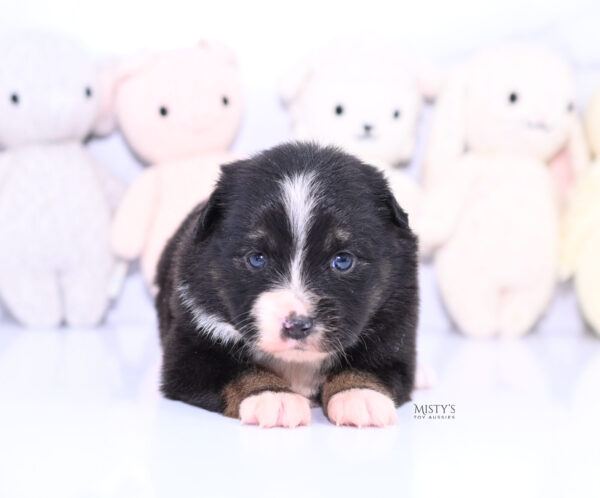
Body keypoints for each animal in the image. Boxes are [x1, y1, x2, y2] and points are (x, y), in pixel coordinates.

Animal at [155, 142, 418, 426]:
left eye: (343, 260)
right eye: (257, 258)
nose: (297, 326)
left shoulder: (396, 323)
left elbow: (373, 362)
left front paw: (359, 395)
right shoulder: (190, 349)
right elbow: (235, 370)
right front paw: (273, 397)